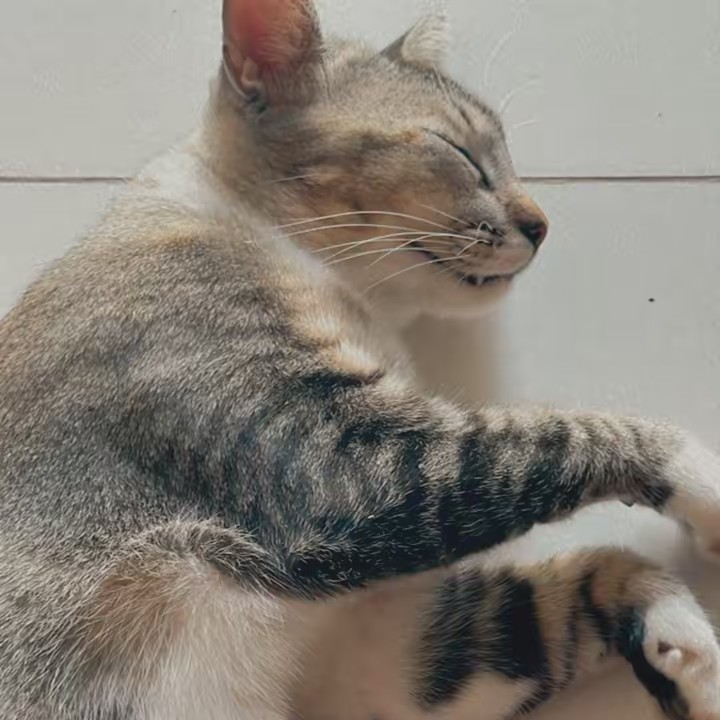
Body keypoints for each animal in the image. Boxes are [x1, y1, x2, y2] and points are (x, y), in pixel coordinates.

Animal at [0, 0, 719, 718]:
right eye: (460, 151)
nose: (542, 225)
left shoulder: (385, 658)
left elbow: (544, 608)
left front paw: (685, 649)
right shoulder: (330, 455)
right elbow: (567, 434)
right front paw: (706, 484)